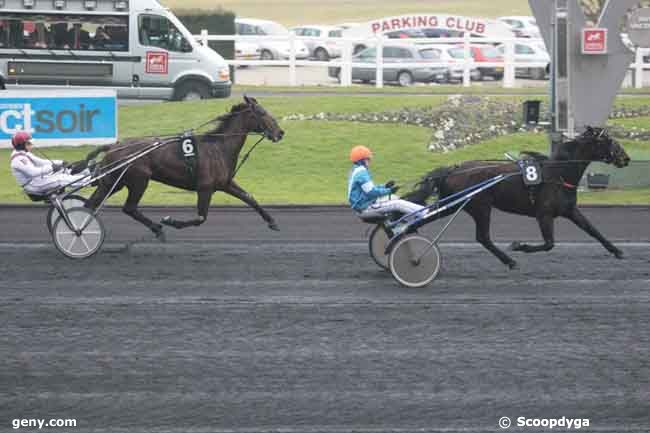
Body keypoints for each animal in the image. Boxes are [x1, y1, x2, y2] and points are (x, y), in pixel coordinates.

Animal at [402, 125, 632, 268]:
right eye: (609, 140)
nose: (626, 158)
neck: (558, 173)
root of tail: (453, 169)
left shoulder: (570, 210)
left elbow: (593, 230)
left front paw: (617, 251)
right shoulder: (544, 213)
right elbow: (549, 244)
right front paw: (519, 246)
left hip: (453, 204)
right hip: (481, 207)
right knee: (483, 237)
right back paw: (510, 260)